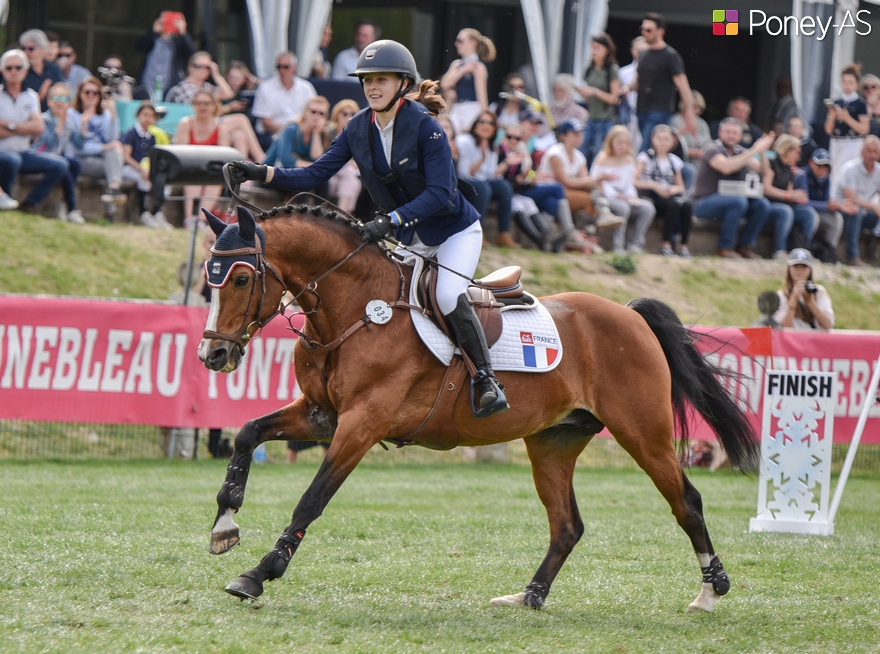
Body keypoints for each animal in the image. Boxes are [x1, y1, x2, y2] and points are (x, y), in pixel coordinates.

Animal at [198, 201, 756, 616]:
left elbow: (311, 500)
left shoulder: (361, 423)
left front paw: (259, 573)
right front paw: (225, 525)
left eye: (242, 279)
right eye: (209, 279)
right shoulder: (321, 414)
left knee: (687, 503)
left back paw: (710, 591)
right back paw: (528, 596)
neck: (355, 309)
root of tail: (630, 314)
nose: (213, 355)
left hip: (643, 433)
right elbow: (247, 433)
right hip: (553, 442)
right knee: (567, 525)